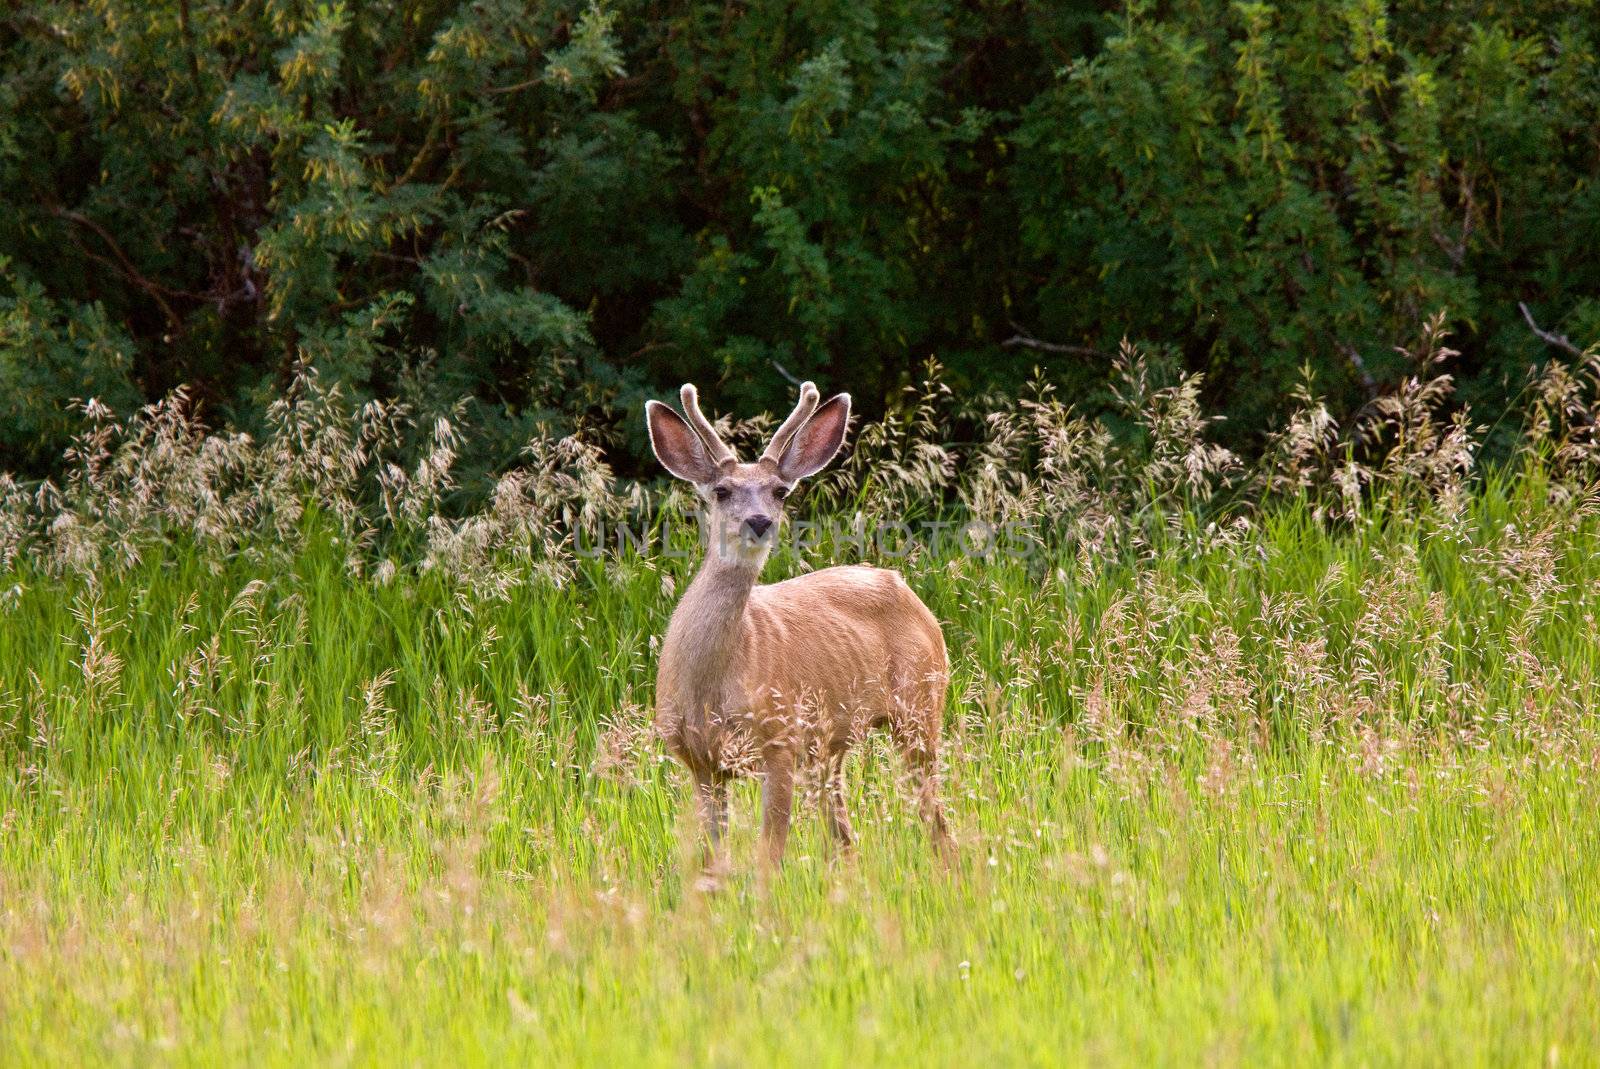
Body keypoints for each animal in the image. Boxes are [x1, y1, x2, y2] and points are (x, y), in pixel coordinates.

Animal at [646, 379, 953, 870]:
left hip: (921, 704)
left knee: (936, 821)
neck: (709, 684)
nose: (759, 521)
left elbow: (769, 853)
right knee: (846, 837)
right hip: (830, 745)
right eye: (722, 490)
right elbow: (712, 857)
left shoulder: (780, 738)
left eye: (780, 491)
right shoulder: (699, 761)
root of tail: (908, 590)